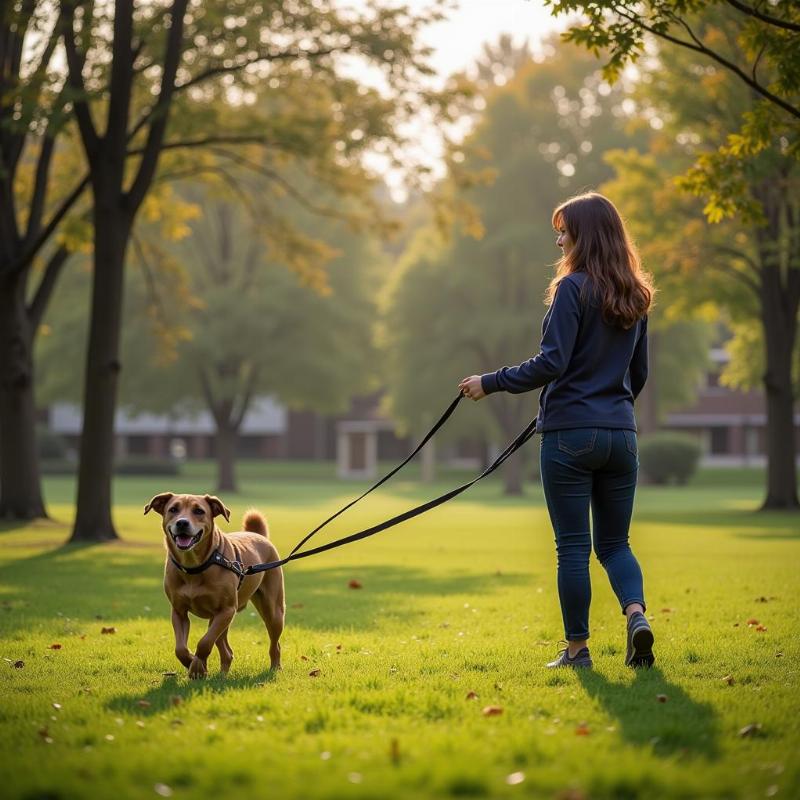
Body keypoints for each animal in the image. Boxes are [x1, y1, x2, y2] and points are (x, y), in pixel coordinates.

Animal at [145, 490, 286, 680]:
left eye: (199, 511)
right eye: (173, 509)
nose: (182, 522)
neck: (194, 566)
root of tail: (258, 535)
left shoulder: (226, 609)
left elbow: (204, 642)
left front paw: (197, 667)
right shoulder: (179, 612)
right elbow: (180, 649)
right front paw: (192, 663)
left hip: (272, 611)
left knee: (274, 644)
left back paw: (275, 668)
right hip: (219, 619)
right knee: (226, 650)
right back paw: (222, 675)